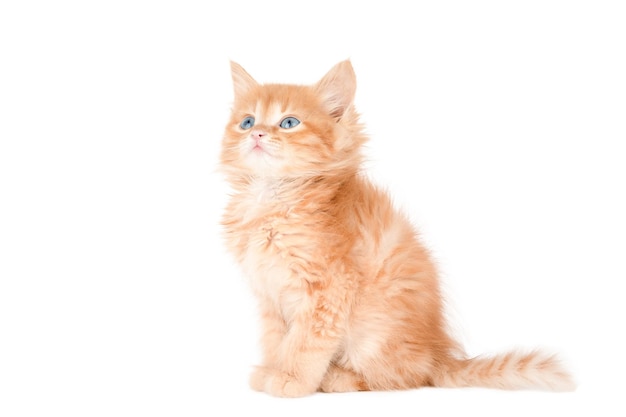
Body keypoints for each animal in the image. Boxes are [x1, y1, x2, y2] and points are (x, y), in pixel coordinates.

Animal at [219, 59, 576, 396]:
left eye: (289, 122)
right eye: (247, 121)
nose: (256, 134)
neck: (270, 198)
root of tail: (437, 355)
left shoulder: (331, 289)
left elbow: (305, 342)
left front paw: (291, 379)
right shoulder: (269, 296)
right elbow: (276, 341)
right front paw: (271, 370)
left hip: (374, 334)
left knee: (403, 377)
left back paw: (339, 378)